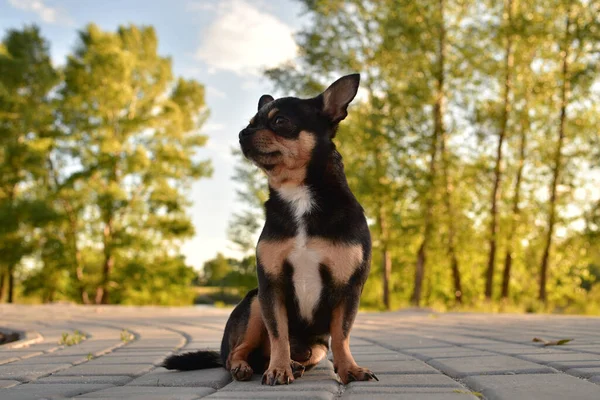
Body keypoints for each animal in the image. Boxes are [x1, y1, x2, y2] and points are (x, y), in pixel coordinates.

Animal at [164, 74, 378, 384]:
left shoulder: (347, 288)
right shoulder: (271, 286)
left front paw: (350, 368)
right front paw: (278, 369)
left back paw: (294, 365)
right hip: (254, 303)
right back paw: (248, 367)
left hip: (316, 348)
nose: (243, 133)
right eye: (252, 122)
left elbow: (341, 335)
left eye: (279, 121)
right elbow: (279, 334)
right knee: (234, 353)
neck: (298, 195)